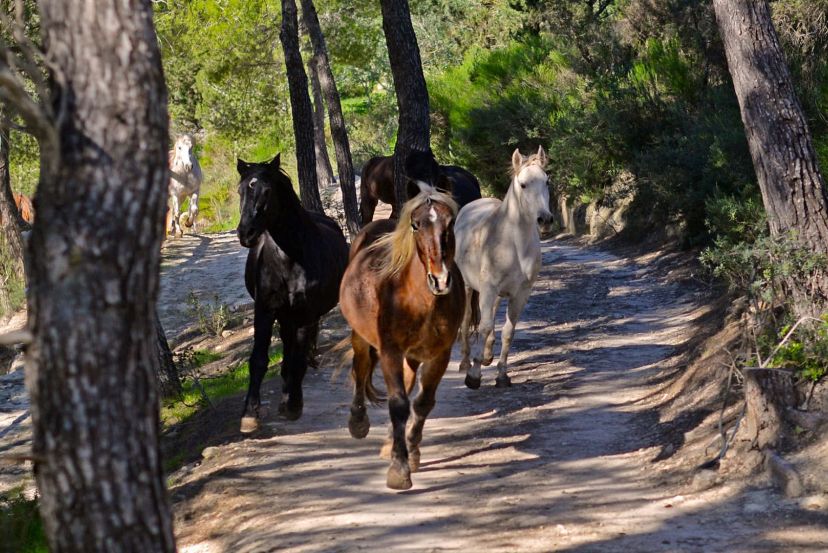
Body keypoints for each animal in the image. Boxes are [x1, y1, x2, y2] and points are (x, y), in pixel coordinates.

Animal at [236, 153, 349, 433]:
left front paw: (293, 405)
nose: (246, 233)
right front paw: (250, 414)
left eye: (267, 191)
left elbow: (298, 359)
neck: (289, 258)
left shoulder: (305, 313)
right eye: (240, 190)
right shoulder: (265, 310)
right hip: (284, 315)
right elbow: (258, 359)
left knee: (296, 352)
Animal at [340, 183, 465, 490]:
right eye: (416, 225)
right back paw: (358, 421)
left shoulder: (439, 354)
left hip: (412, 356)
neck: (419, 299)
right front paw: (399, 470)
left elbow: (421, 403)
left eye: (450, 222)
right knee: (361, 369)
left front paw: (412, 451)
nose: (440, 280)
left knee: (407, 388)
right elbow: (398, 405)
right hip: (362, 339)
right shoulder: (390, 351)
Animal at [455, 146, 554, 389]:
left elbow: (508, 331)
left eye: (547, 181)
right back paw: (465, 362)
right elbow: (484, 327)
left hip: (497, 294)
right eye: (523, 184)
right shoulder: (488, 289)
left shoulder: (521, 293)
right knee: (467, 320)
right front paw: (474, 376)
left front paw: (501, 375)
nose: (545, 220)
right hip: (469, 286)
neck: (513, 244)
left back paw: (486, 356)